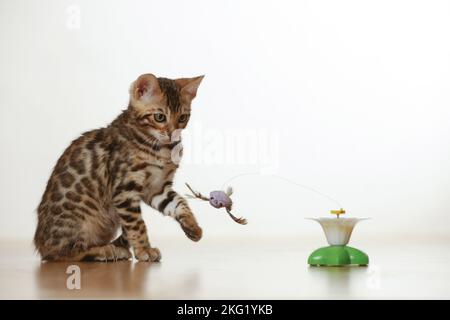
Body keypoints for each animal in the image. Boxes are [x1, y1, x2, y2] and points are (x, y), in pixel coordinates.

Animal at [35, 74, 204, 262]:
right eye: (159, 117)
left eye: (182, 118)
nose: (172, 134)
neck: (160, 149)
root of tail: (40, 244)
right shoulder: (124, 189)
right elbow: (137, 224)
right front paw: (144, 250)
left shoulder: (157, 188)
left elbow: (179, 203)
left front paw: (192, 225)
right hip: (77, 222)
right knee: (67, 253)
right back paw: (106, 251)